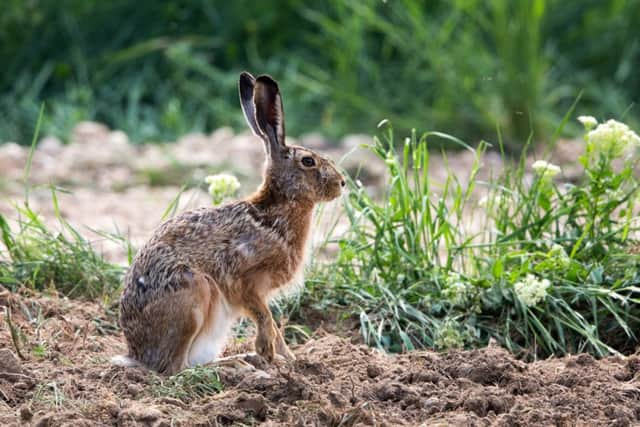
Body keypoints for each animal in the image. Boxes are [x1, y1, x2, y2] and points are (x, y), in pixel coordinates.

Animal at [112, 72, 346, 374]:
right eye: (308, 161)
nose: (342, 183)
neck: (274, 210)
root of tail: (137, 354)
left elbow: (274, 325)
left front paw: (290, 360)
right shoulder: (244, 280)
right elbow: (265, 318)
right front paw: (267, 353)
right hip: (194, 296)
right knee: (175, 368)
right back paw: (234, 366)